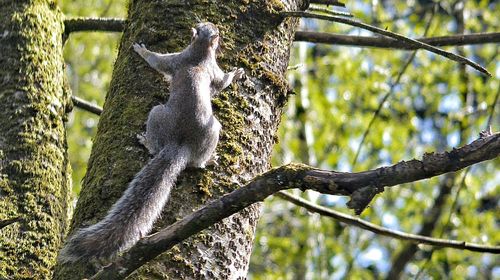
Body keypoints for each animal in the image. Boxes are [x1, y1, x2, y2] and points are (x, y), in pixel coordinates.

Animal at [58, 21, 244, 262]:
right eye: (208, 27)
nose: (210, 26)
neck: (200, 53)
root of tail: (180, 144)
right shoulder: (205, 66)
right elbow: (221, 82)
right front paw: (235, 74)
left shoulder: (179, 60)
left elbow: (157, 61)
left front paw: (142, 50)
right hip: (212, 130)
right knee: (197, 162)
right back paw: (208, 159)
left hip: (158, 115)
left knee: (168, 152)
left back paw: (148, 142)